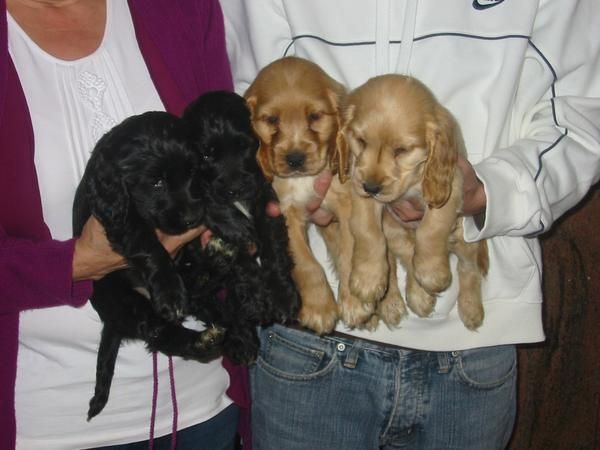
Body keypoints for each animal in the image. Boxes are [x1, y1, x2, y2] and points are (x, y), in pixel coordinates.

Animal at [72, 110, 255, 420]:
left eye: (192, 172)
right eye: (156, 182)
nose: (192, 219)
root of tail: (112, 322)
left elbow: (207, 195)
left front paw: (230, 221)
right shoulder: (118, 214)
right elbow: (147, 242)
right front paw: (169, 290)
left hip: (193, 290)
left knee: (206, 298)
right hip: (126, 300)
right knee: (159, 333)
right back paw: (203, 339)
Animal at [178, 90, 300, 366]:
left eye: (245, 146)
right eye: (207, 155)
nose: (235, 188)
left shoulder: (265, 202)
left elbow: (273, 250)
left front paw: (282, 296)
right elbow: (241, 255)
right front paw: (257, 297)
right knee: (207, 302)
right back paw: (240, 340)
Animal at [244, 57, 380, 334]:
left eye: (315, 116)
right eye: (271, 120)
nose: (295, 159)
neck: (303, 181)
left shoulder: (344, 200)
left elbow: (350, 249)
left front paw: (354, 303)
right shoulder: (284, 212)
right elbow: (306, 262)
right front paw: (319, 308)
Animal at [342, 74, 488, 330]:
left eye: (401, 150)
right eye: (360, 141)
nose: (371, 187)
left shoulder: (452, 185)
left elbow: (431, 228)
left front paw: (432, 271)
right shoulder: (359, 186)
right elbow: (366, 230)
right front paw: (367, 278)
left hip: (464, 238)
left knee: (468, 268)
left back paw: (471, 309)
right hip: (393, 230)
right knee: (408, 253)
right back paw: (419, 295)